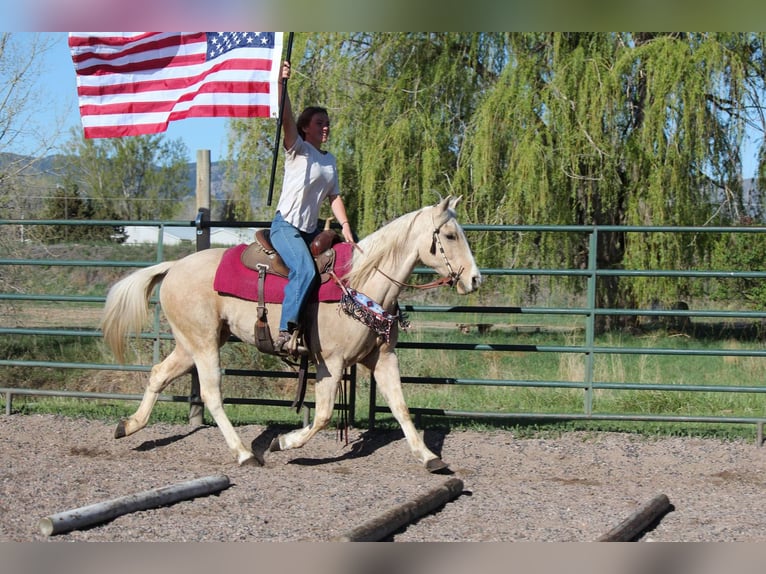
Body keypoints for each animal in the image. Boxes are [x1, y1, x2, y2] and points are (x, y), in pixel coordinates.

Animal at [100, 195, 481, 472]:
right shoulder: (331, 362)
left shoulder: (383, 359)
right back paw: (245, 453)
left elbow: (401, 407)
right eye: (449, 235)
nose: (475, 279)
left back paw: (128, 426)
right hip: (204, 343)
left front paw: (429, 457)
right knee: (211, 394)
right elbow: (324, 415)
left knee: (158, 374)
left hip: (191, 342)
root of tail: (173, 267)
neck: (360, 283)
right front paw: (282, 442)